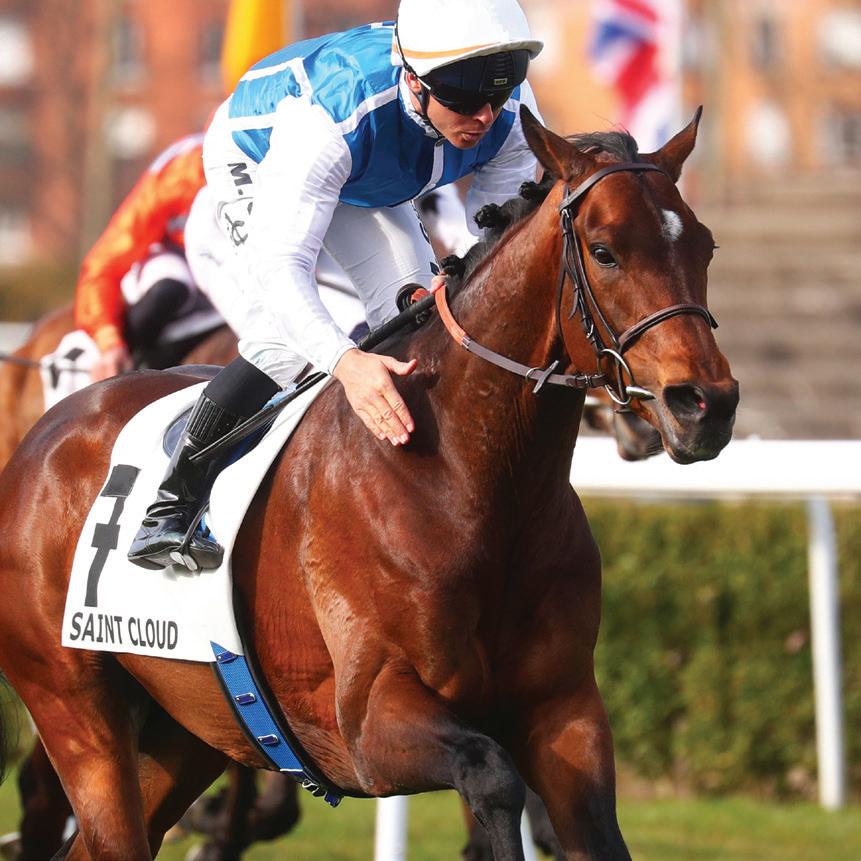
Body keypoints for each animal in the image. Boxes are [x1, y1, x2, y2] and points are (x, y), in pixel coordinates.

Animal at [0, 106, 737, 861]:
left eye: (703, 246)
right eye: (603, 250)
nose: (703, 404)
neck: (467, 479)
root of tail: (45, 435)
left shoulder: (564, 711)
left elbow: (585, 824)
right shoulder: (367, 721)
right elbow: (491, 775)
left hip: (188, 726)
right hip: (76, 709)